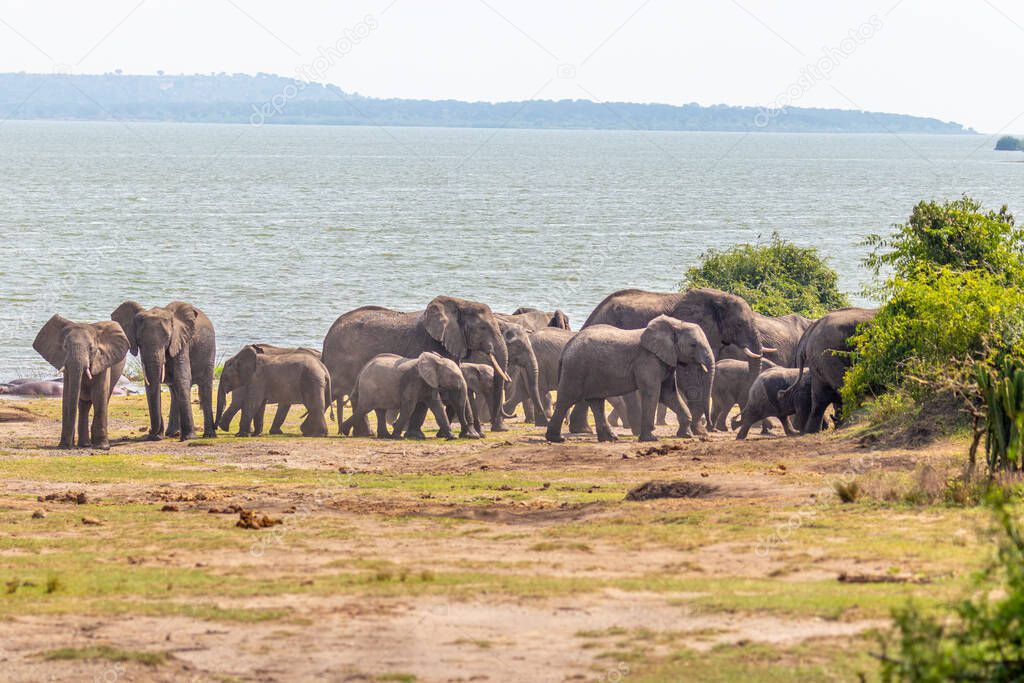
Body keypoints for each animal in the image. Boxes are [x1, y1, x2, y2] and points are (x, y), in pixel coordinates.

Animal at [112, 301, 216, 440]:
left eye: (167, 339)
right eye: (139, 341)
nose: (150, 431)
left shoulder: (181, 341)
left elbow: (182, 378)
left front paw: (189, 438)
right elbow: (150, 384)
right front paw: (157, 437)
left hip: (210, 352)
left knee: (204, 387)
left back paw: (208, 435)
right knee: (174, 390)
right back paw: (173, 433)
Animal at [337, 356, 477, 440]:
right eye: (454, 377)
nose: (469, 434)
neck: (436, 360)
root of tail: (362, 371)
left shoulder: (429, 383)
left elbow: (437, 407)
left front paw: (452, 437)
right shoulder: (414, 380)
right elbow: (409, 407)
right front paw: (397, 437)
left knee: (379, 411)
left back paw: (384, 435)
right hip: (369, 388)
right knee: (364, 408)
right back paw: (344, 431)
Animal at [544, 315, 712, 444]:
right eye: (693, 345)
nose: (710, 428)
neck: (675, 324)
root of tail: (567, 347)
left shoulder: (666, 360)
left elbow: (668, 394)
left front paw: (686, 435)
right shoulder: (647, 360)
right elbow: (653, 393)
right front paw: (650, 439)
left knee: (596, 402)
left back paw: (610, 438)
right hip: (576, 368)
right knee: (567, 399)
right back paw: (557, 439)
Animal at [577, 286, 770, 432]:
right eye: (739, 324)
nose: (711, 427)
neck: (718, 298)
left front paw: (697, 429)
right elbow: (690, 373)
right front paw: (698, 430)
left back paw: (583, 429)